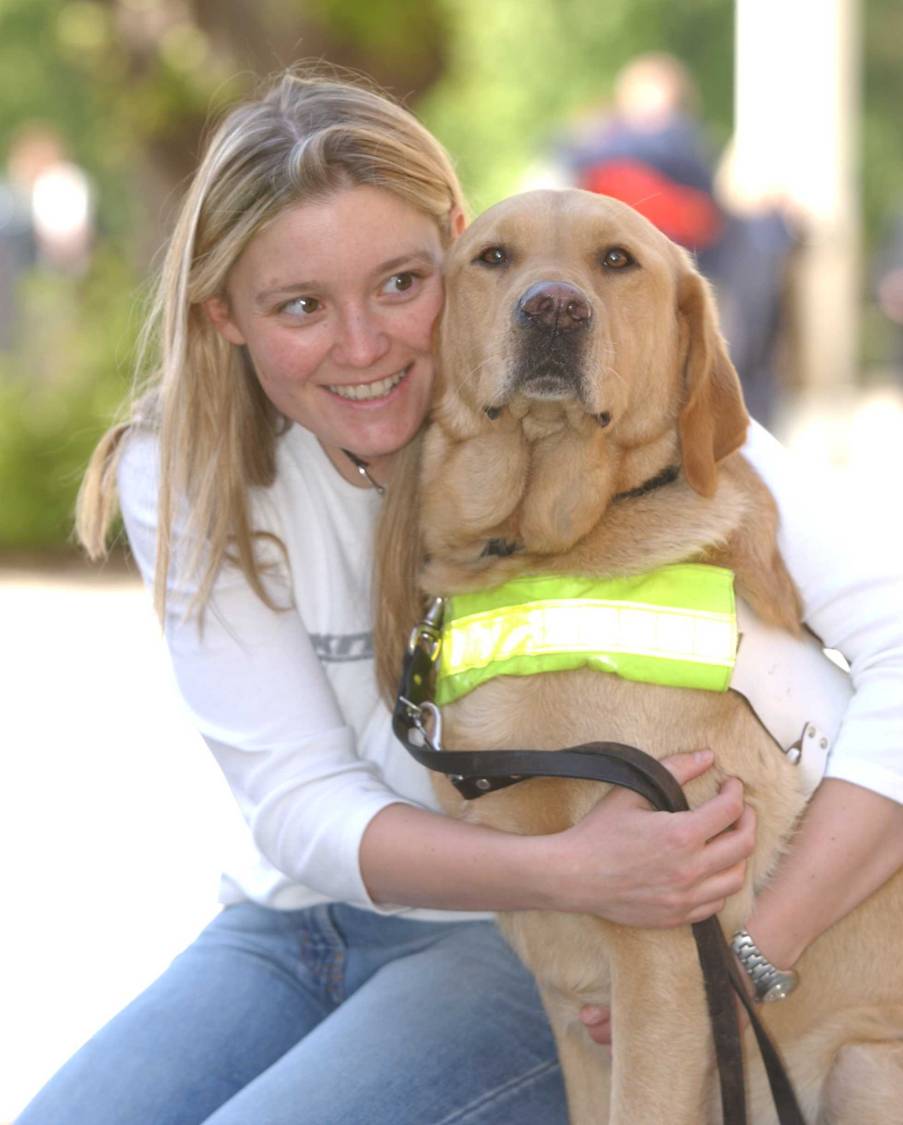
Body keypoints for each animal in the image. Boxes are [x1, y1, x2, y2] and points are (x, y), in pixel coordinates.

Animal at [375, 189, 903, 1120]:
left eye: (617, 261)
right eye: (493, 257)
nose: (553, 307)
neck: (538, 556)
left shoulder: (666, 965)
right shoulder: (568, 996)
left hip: (863, 1065)